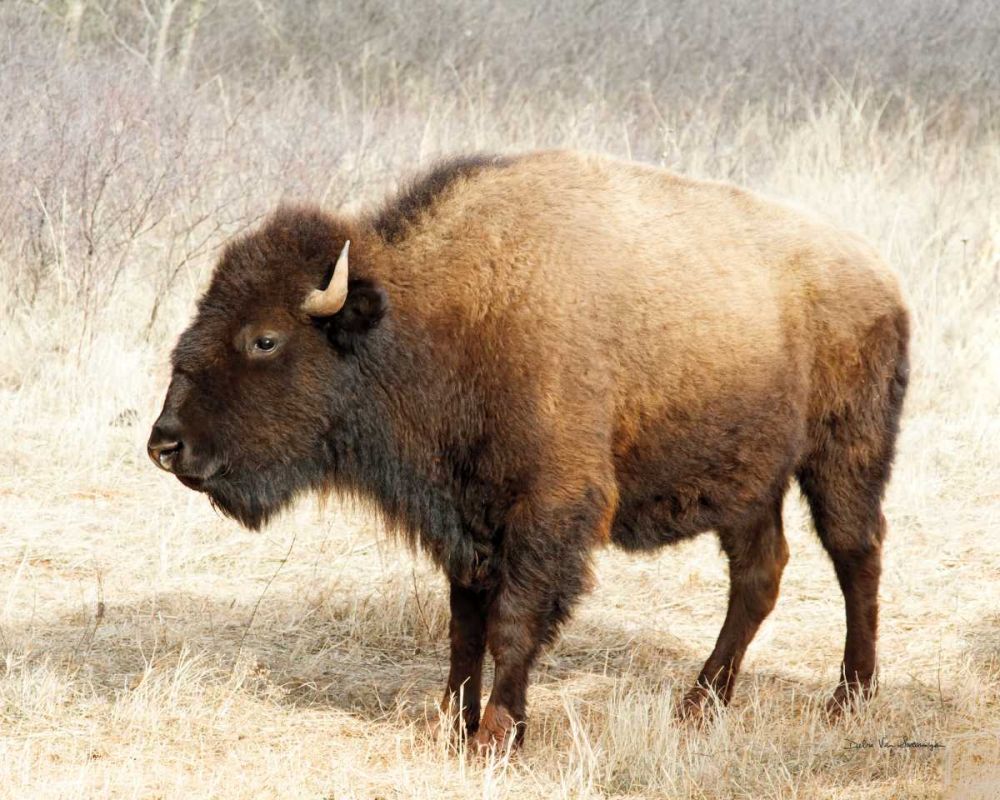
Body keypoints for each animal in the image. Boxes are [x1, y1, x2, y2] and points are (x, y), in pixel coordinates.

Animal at [148, 150, 909, 751]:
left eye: (265, 338)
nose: (165, 443)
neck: (437, 316)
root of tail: (882, 278)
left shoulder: (548, 511)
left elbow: (513, 623)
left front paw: (495, 736)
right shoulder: (468, 519)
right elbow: (464, 625)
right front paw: (450, 722)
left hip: (844, 456)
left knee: (856, 554)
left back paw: (849, 698)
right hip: (749, 483)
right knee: (759, 574)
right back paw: (700, 704)